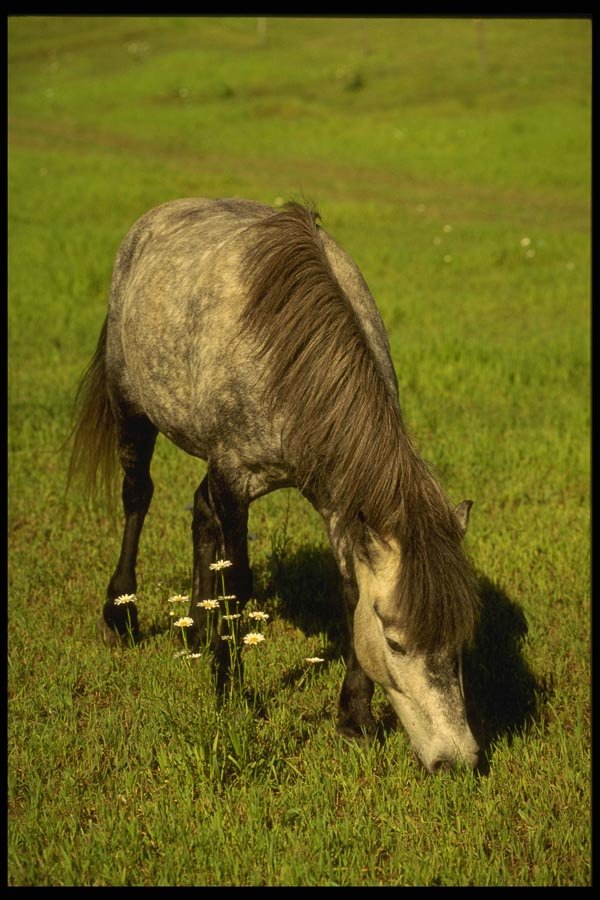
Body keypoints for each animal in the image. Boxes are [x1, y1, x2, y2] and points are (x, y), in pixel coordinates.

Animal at [68, 197, 481, 773]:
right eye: (395, 642)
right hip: (131, 410)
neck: (289, 354)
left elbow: (349, 591)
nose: (457, 759)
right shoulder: (235, 478)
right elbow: (239, 585)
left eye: (460, 641)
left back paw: (197, 628)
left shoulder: (338, 505)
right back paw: (121, 615)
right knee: (138, 499)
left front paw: (354, 718)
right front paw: (230, 692)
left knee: (200, 513)